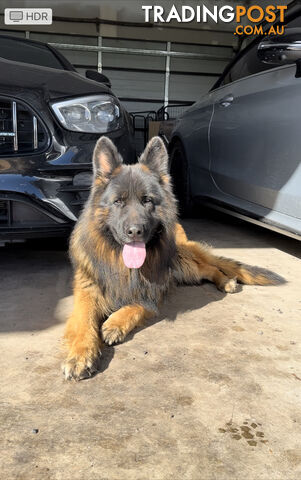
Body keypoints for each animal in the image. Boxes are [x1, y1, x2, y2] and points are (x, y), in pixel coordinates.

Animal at [62, 135, 276, 378]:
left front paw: (115, 322)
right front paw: (81, 354)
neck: (121, 263)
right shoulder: (87, 293)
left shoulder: (153, 291)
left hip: (183, 260)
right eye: (118, 201)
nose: (135, 231)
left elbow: (137, 305)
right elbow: (84, 322)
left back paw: (226, 281)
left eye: (147, 200)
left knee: (209, 267)